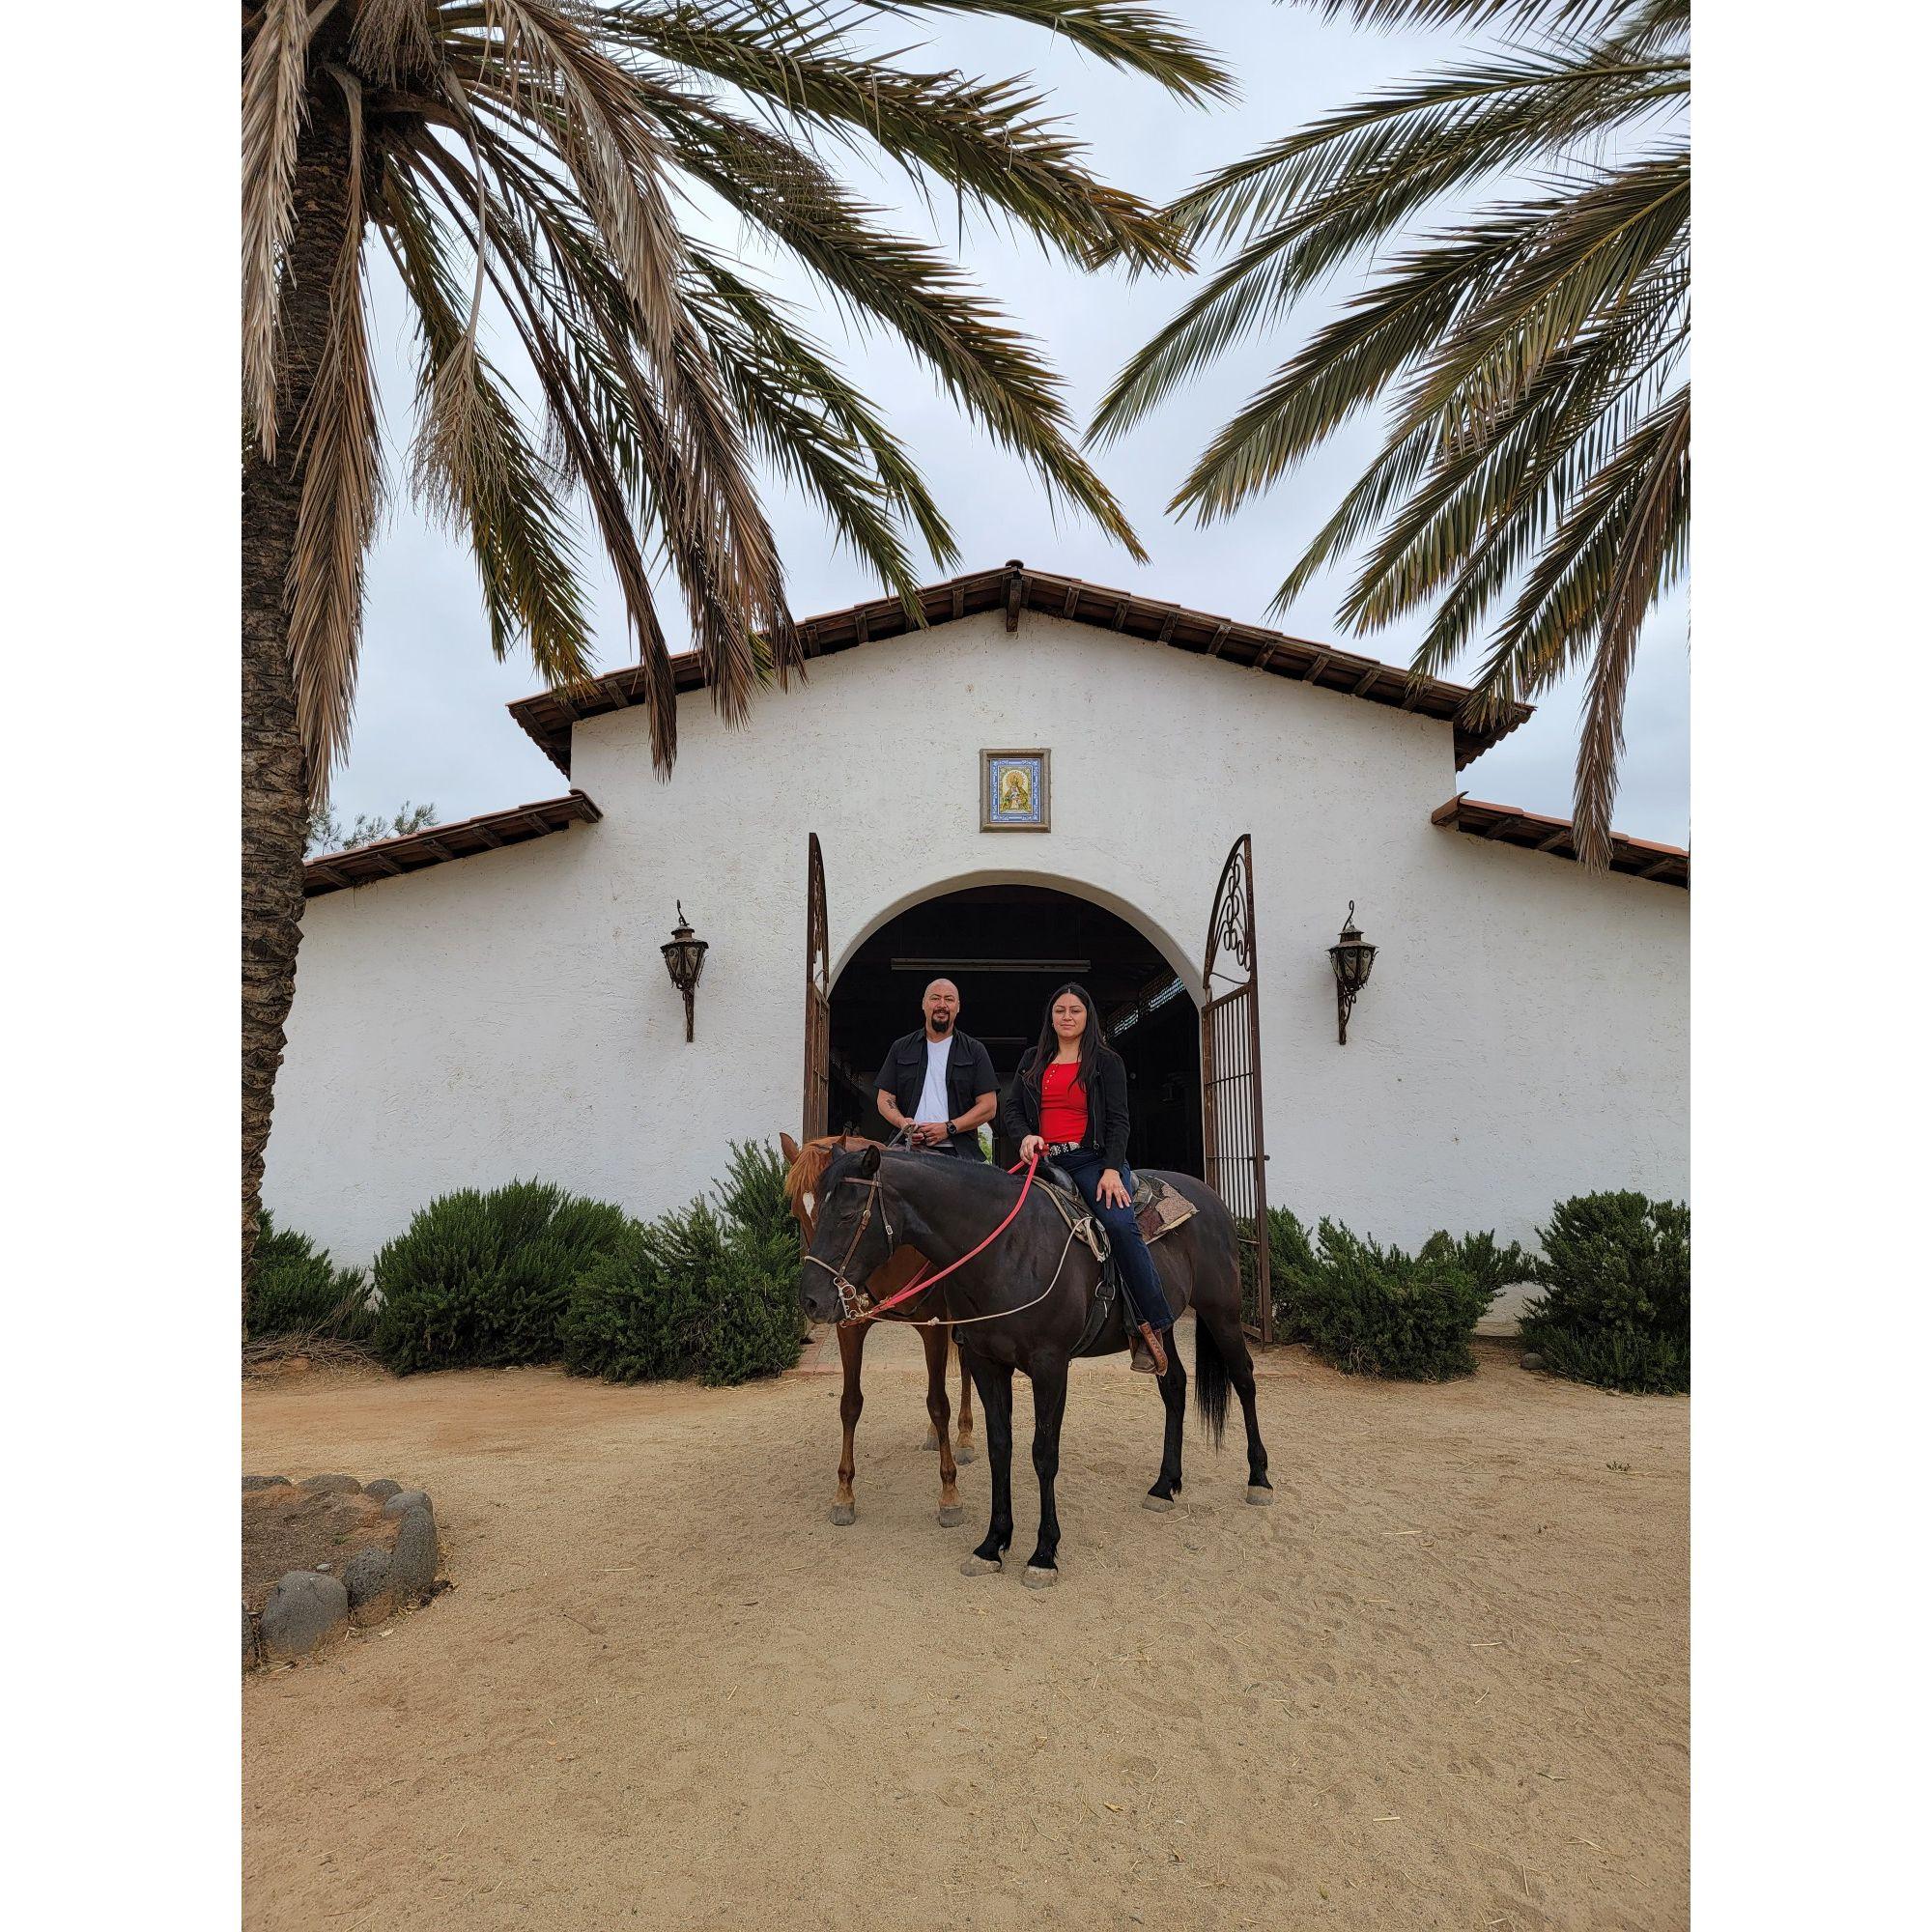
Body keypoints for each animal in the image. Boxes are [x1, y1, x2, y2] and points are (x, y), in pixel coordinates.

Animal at [777, 1128, 974, 1522]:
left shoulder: (933, 1327)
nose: (814, 1300)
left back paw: (964, 1437)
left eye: (844, 1216)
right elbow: (850, 1404)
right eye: (798, 1213)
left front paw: (949, 1494)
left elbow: (938, 1402)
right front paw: (843, 1494)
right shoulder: (849, 1328)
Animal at [792, 1144, 1275, 1584]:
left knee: (1244, 1379)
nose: (811, 1299)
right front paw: (993, 1543)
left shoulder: (1050, 1367)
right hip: (1163, 1326)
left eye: (848, 1216)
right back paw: (1164, 1484)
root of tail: (1210, 1197)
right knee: (1173, 1384)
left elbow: (1043, 1453)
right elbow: (999, 1447)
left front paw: (1044, 1553)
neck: (1006, 1250)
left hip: (1222, 1312)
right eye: (807, 1213)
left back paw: (1258, 1478)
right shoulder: (987, 1363)